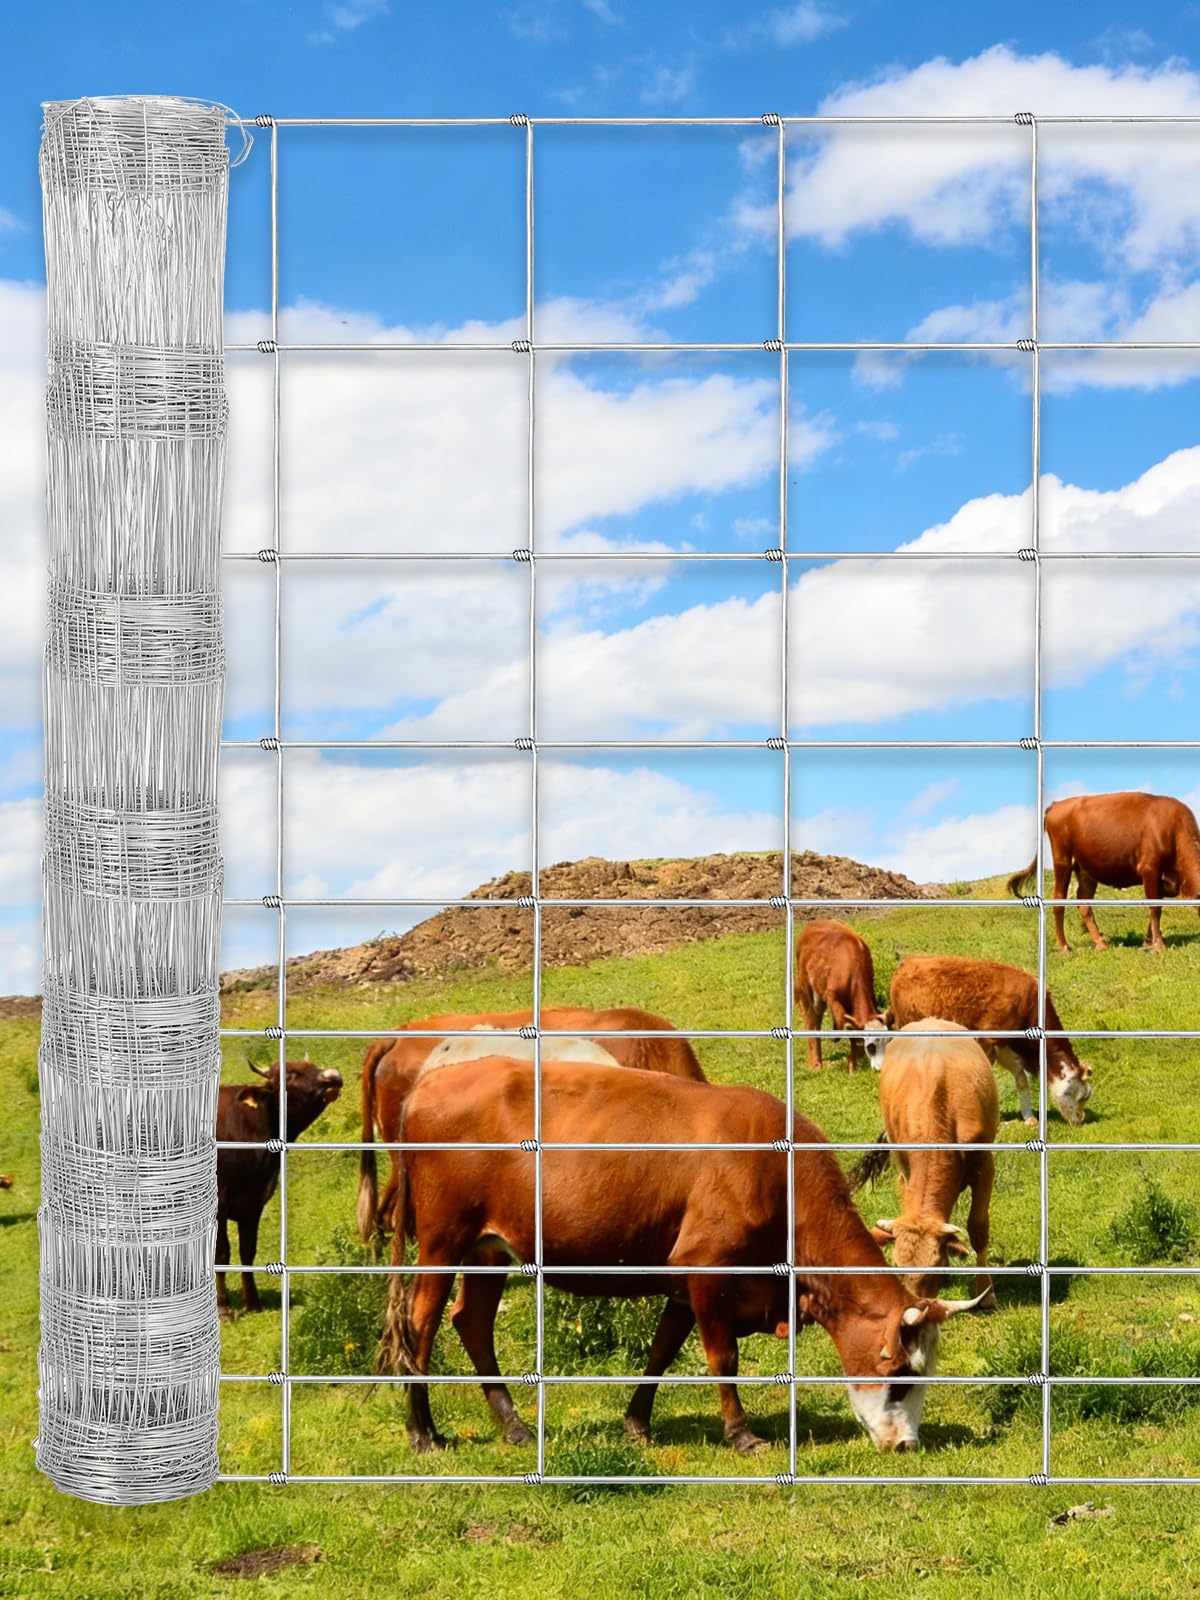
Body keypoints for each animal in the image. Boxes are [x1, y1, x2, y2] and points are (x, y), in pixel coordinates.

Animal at [216, 1058, 343, 1318]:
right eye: (290, 1075)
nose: (333, 1074)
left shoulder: (254, 1203)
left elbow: (247, 1251)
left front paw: (253, 1303)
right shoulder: (220, 1203)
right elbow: (221, 1252)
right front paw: (223, 1307)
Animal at [379, 1057, 987, 1457]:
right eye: (902, 1376)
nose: (907, 1445)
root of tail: (429, 1082)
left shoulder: (683, 1279)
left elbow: (662, 1351)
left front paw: (637, 1424)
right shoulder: (706, 1266)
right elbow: (722, 1358)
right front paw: (742, 1434)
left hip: (489, 1248)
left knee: (472, 1321)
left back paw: (513, 1426)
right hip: (441, 1240)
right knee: (421, 1325)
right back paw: (423, 1432)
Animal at [794, 918, 888, 1072]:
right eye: (871, 1046)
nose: (880, 1068)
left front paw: (853, 1063)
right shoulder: (832, 997)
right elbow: (844, 1025)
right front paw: (852, 1066)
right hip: (805, 985)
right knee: (812, 1018)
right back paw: (815, 1064)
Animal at [887, 955, 1091, 1127]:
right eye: (1080, 1097)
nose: (1080, 1119)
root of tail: (908, 961)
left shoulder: (1008, 1046)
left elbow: (1021, 1080)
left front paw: (1029, 1117)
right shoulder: (987, 1040)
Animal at [1007, 791, 1200, 955]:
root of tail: (1057, 805)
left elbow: (1160, 898)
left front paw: (1148, 941)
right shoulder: (1149, 868)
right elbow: (1155, 907)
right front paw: (1158, 945)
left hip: (1085, 868)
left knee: (1083, 902)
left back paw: (1100, 943)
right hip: (1062, 859)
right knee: (1059, 900)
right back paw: (1064, 947)